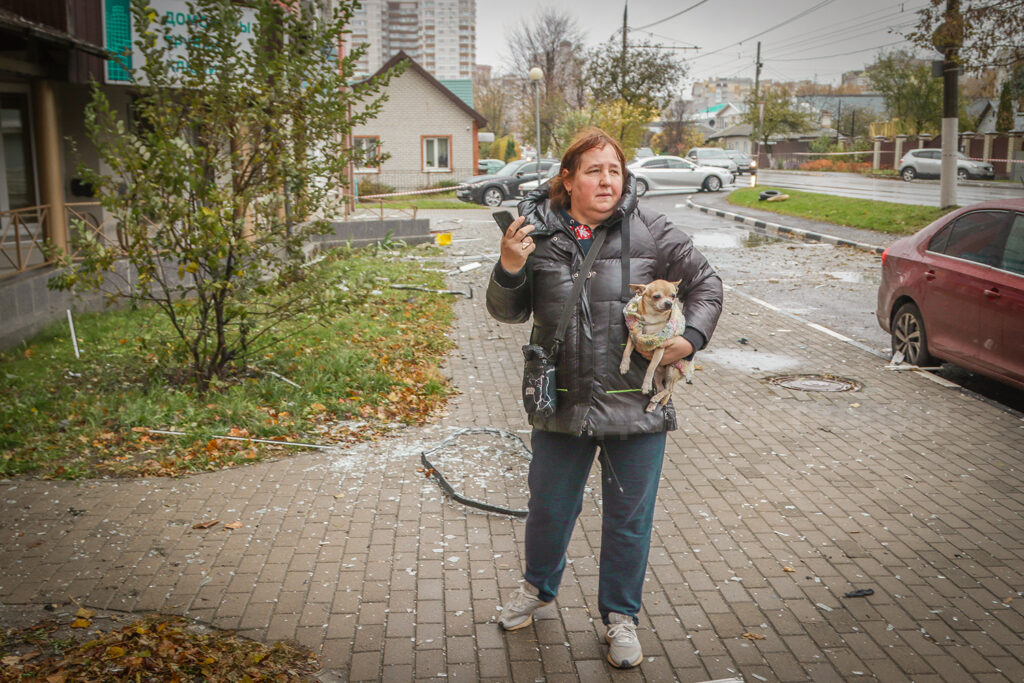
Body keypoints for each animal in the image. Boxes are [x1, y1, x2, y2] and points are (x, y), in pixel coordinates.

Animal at [618, 278, 692, 411]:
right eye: (656, 296)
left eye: (673, 296)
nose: (669, 303)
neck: (652, 319)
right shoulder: (634, 336)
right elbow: (626, 351)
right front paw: (624, 366)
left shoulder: (660, 347)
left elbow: (650, 367)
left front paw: (646, 386)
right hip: (658, 373)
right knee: (662, 388)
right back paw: (653, 403)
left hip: (671, 370)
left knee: (669, 389)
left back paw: (656, 398)